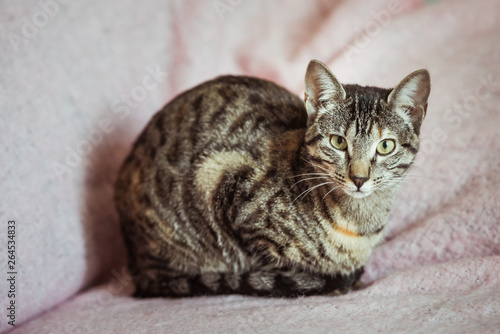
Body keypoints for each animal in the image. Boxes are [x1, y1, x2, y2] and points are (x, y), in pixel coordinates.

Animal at [113, 60, 430, 298]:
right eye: (339, 142)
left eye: (385, 146)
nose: (359, 178)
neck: (357, 225)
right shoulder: (228, 191)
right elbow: (268, 262)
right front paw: (323, 282)